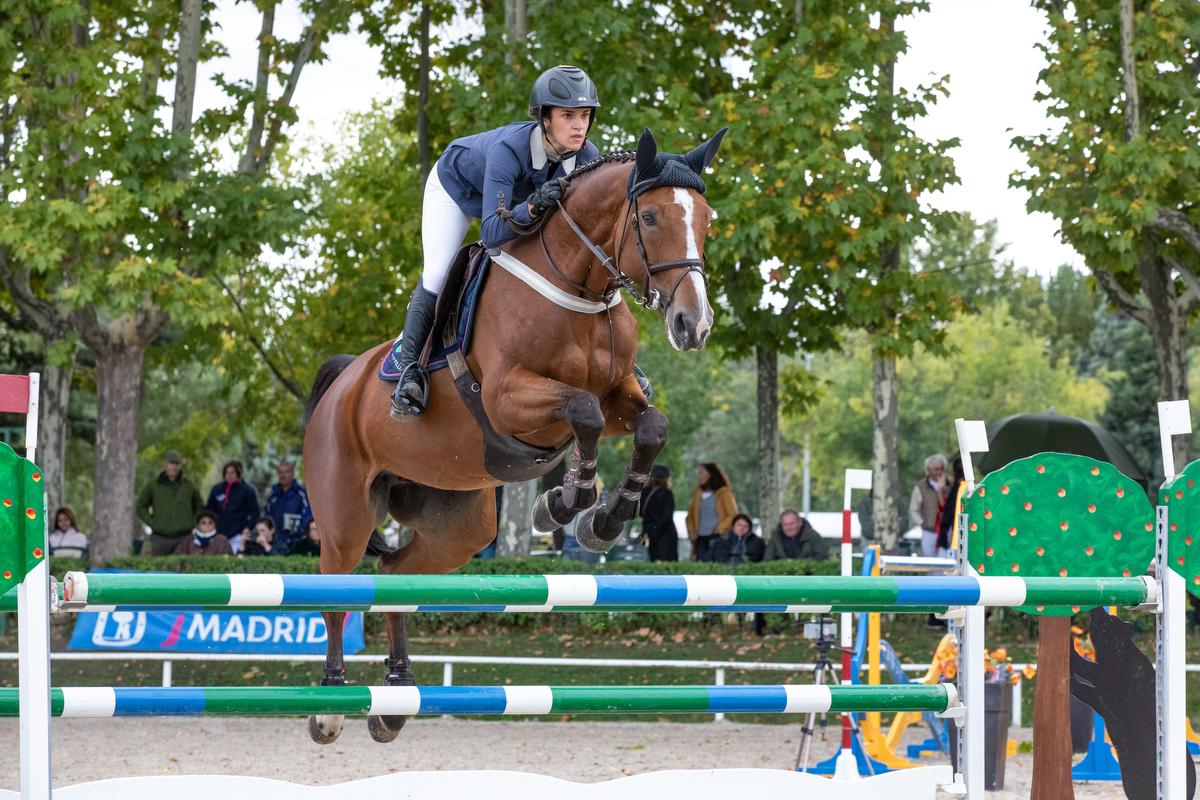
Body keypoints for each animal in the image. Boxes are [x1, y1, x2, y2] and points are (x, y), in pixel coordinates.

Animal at [304, 125, 724, 743]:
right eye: (649, 218)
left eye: (707, 218)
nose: (693, 326)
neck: (578, 289)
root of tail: (341, 384)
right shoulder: (508, 399)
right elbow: (582, 413)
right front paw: (566, 503)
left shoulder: (619, 394)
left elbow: (651, 425)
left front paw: (601, 519)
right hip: (344, 515)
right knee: (337, 589)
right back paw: (331, 703)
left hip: (459, 523)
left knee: (396, 575)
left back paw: (394, 698)